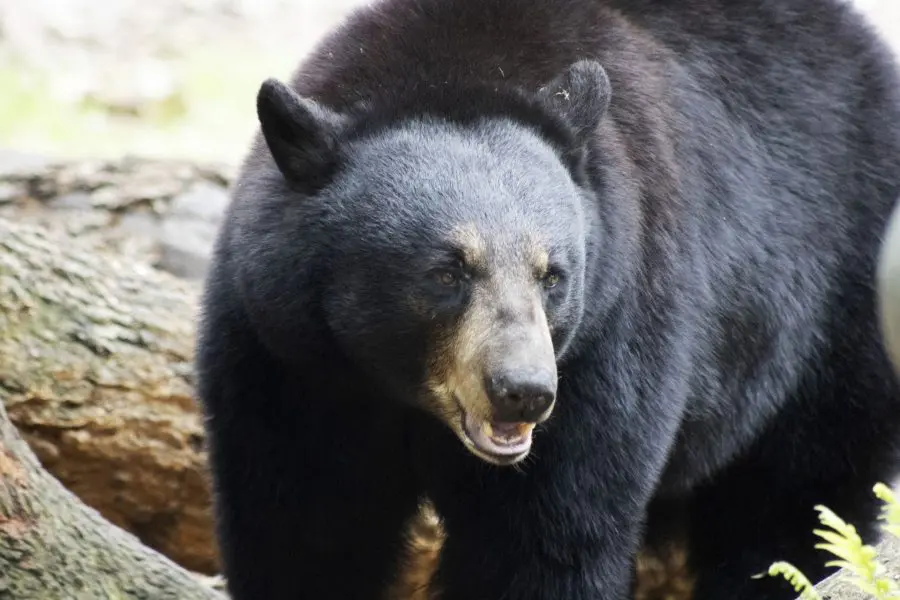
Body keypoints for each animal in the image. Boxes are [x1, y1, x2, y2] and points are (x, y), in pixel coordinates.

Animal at [193, 0, 900, 596]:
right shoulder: (287, 352)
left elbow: (547, 538)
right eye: (447, 272)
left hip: (835, 310)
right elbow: (304, 525)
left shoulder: (612, 334)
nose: (523, 392)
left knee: (799, 500)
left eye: (552, 274)